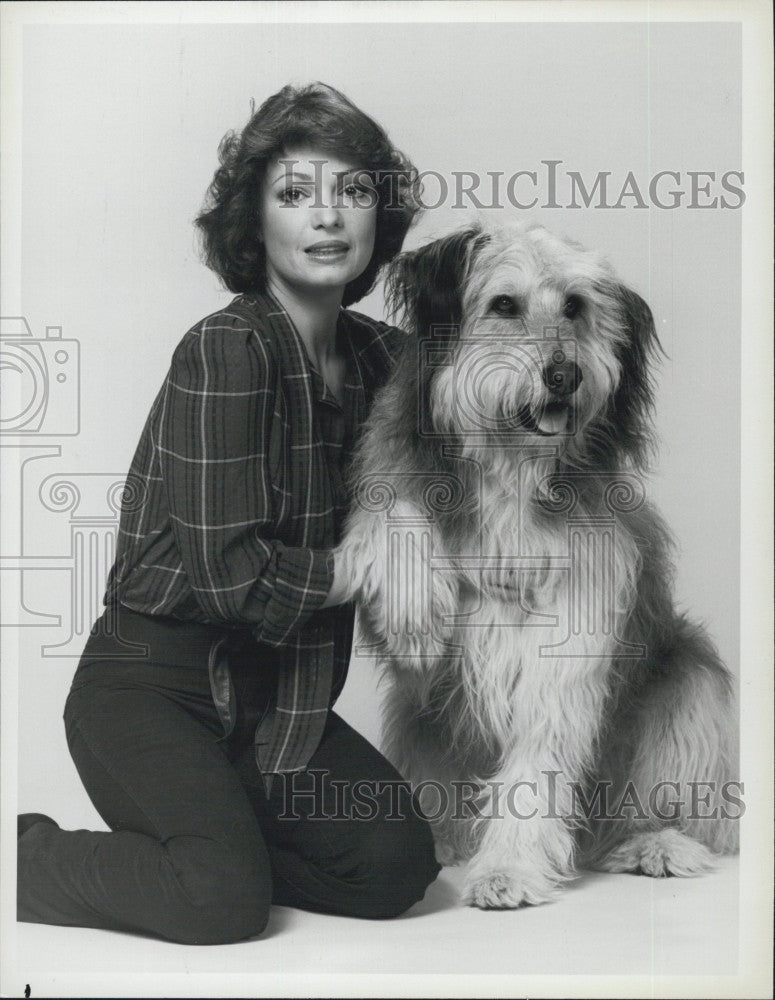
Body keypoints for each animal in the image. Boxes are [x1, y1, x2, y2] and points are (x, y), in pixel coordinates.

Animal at [340, 223, 740, 912]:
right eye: (505, 304)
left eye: (576, 306)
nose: (564, 375)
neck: (511, 466)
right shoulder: (391, 487)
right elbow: (391, 510)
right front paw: (416, 616)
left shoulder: (574, 627)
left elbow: (537, 755)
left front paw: (509, 869)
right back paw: (449, 839)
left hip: (691, 683)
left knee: (682, 806)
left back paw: (655, 843)